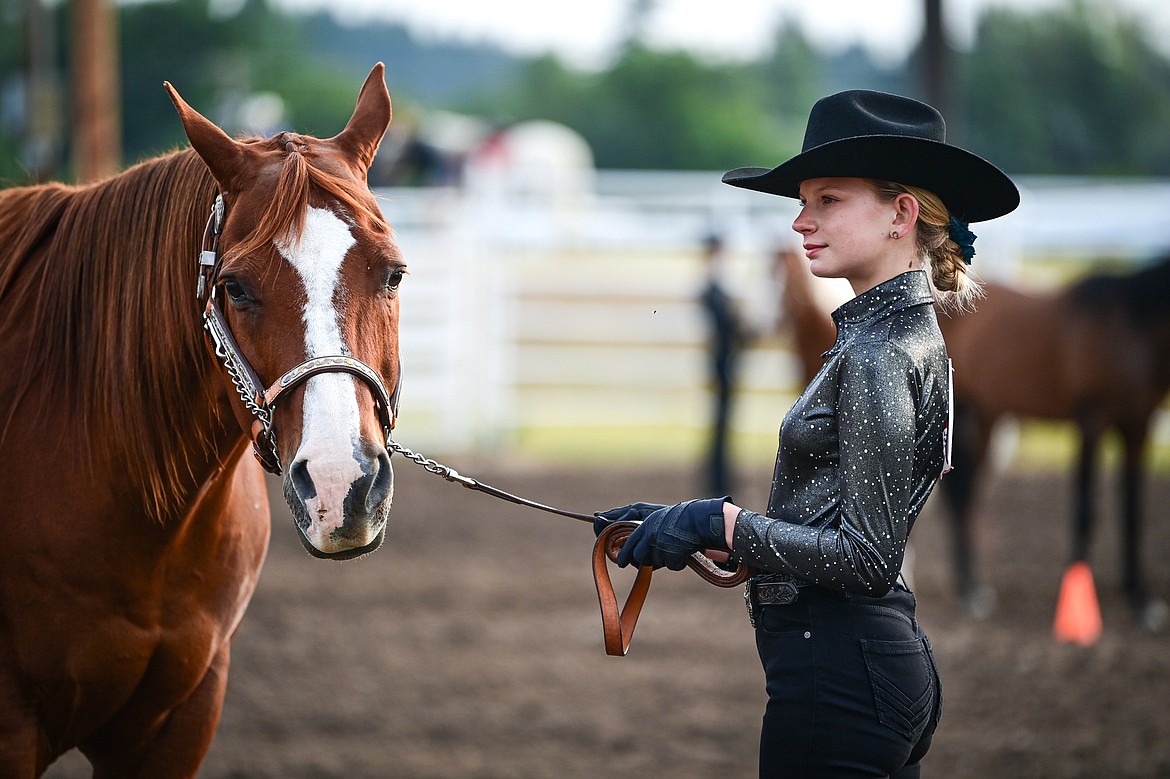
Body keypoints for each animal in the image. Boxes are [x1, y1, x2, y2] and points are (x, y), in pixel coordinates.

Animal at [935, 257, 1170, 626]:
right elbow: (1085, 510)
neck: (1131, 327)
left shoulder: (1138, 429)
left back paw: (971, 588)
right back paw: (969, 591)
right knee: (962, 497)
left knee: (965, 495)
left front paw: (1140, 599)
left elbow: (1133, 513)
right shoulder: (1092, 422)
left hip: (986, 418)